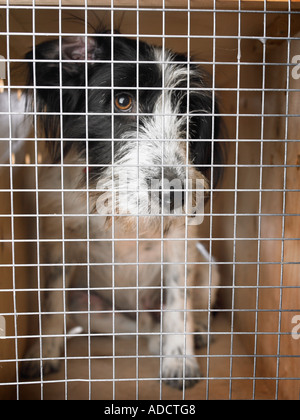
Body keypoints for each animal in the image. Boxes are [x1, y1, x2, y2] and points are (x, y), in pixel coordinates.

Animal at [21, 30, 223, 390]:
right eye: (122, 101)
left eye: (189, 119)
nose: (175, 193)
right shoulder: (60, 240)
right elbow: (52, 299)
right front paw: (43, 351)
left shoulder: (180, 245)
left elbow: (178, 303)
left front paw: (179, 360)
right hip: (89, 305)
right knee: (140, 327)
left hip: (210, 269)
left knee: (182, 310)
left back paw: (196, 332)